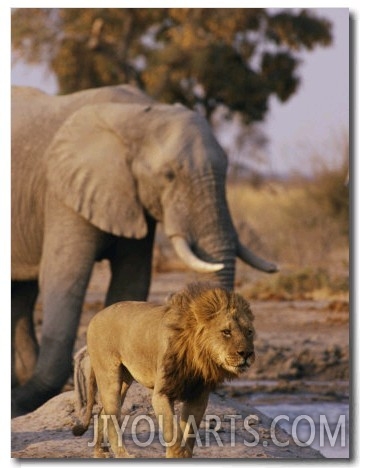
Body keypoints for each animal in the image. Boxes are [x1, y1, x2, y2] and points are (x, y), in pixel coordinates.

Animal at [10, 84, 276, 416]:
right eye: (169, 175)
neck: (138, 115)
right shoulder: (63, 192)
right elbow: (64, 277)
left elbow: (132, 278)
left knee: (22, 292)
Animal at [72, 282, 256, 458]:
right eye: (226, 332)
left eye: (249, 332)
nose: (246, 353)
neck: (198, 359)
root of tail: (97, 315)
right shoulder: (162, 394)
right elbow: (173, 435)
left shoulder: (198, 397)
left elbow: (188, 436)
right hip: (110, 376)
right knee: (111, 415)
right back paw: (123, 454)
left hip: (125, 379)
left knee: (102, 412)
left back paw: (100, 451)